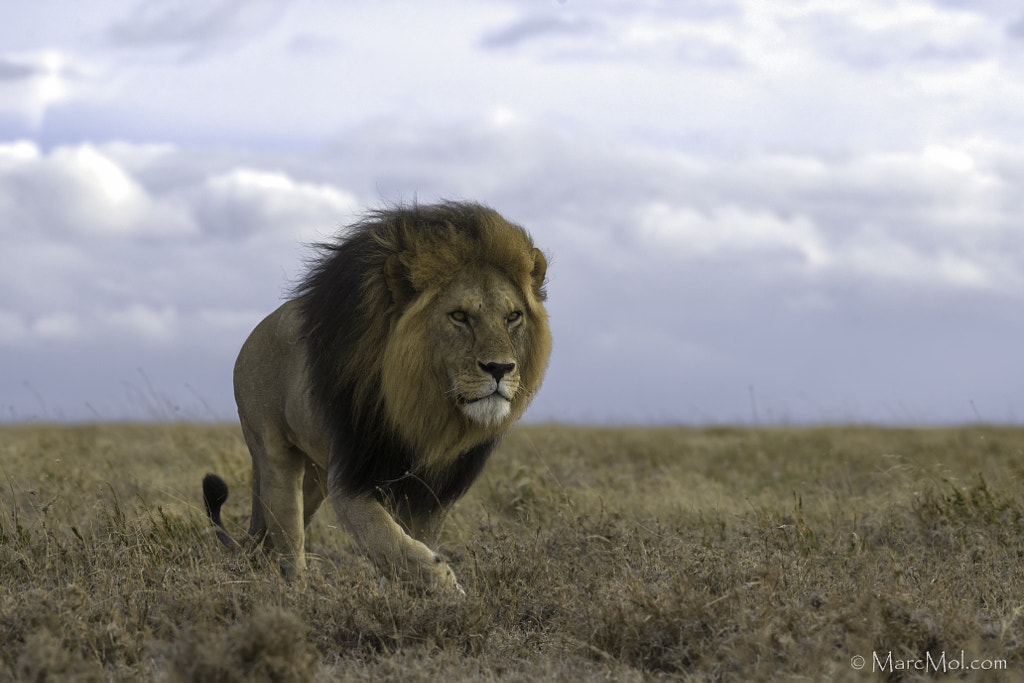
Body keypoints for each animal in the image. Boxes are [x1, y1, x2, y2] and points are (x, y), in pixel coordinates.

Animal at [201, 198, 552, 593]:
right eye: (459, 316)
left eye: (513, 317)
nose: (500, 368)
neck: (427, 408)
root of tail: (253, 335)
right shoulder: (351, 477)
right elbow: (387, 539)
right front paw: (444, 584)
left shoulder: (432, 493)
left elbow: (407, 544)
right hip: (275, 455)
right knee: (289, 540)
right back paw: (300, 594)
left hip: (315, 477)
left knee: (269, 539)